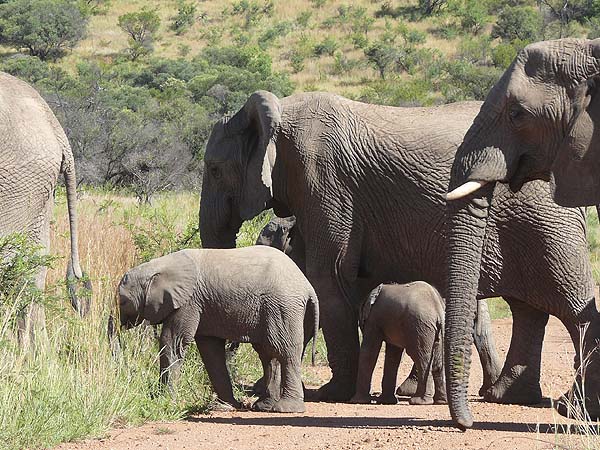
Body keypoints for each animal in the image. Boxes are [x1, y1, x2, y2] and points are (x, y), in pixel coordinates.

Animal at [119, 244, 322, 414]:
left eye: (122, 302)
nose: (121, 325)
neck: (157, 266)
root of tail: (308, 286)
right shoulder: (203, 305)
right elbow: (210, 351)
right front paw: (225, 406)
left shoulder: (188, 302)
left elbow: (173, 342)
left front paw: (164, 400)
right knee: (268, 355)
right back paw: (264, 406)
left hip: (283, 307)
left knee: (284, 352)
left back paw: (286, 409)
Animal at [199, 90, 592, 404]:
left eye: (215, 169)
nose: (242, 392)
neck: (280, 112)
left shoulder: (324, 181)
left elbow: (329, 277)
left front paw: (331, 394)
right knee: (528, 309)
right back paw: (508, 397)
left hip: (545, 219)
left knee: (569, 302)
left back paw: (569, 404)